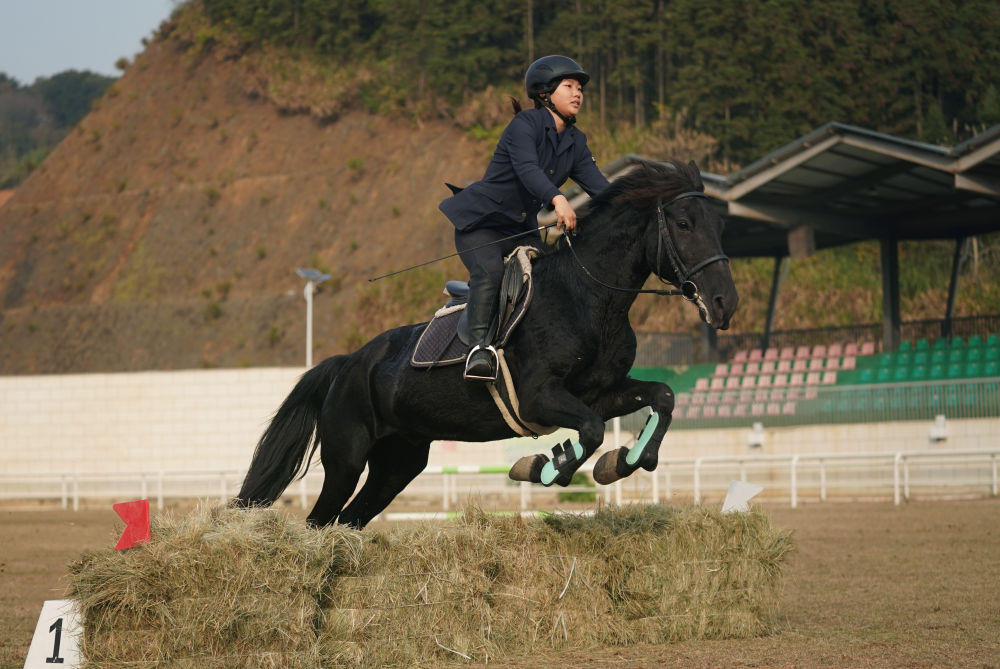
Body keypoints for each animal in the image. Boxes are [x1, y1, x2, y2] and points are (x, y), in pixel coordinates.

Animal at [235, 159, 738, 528]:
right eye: (684, 223)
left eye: (719, 225)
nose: (724, 303)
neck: (587, 298)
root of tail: (347, 363)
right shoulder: (541, 398)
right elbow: (592, 431)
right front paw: (544, 466)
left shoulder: (599, 392)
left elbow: (662, 397)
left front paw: (624, 460)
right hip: (347, 457)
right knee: (319, 520)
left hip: (398, 463)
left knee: (347, 519)